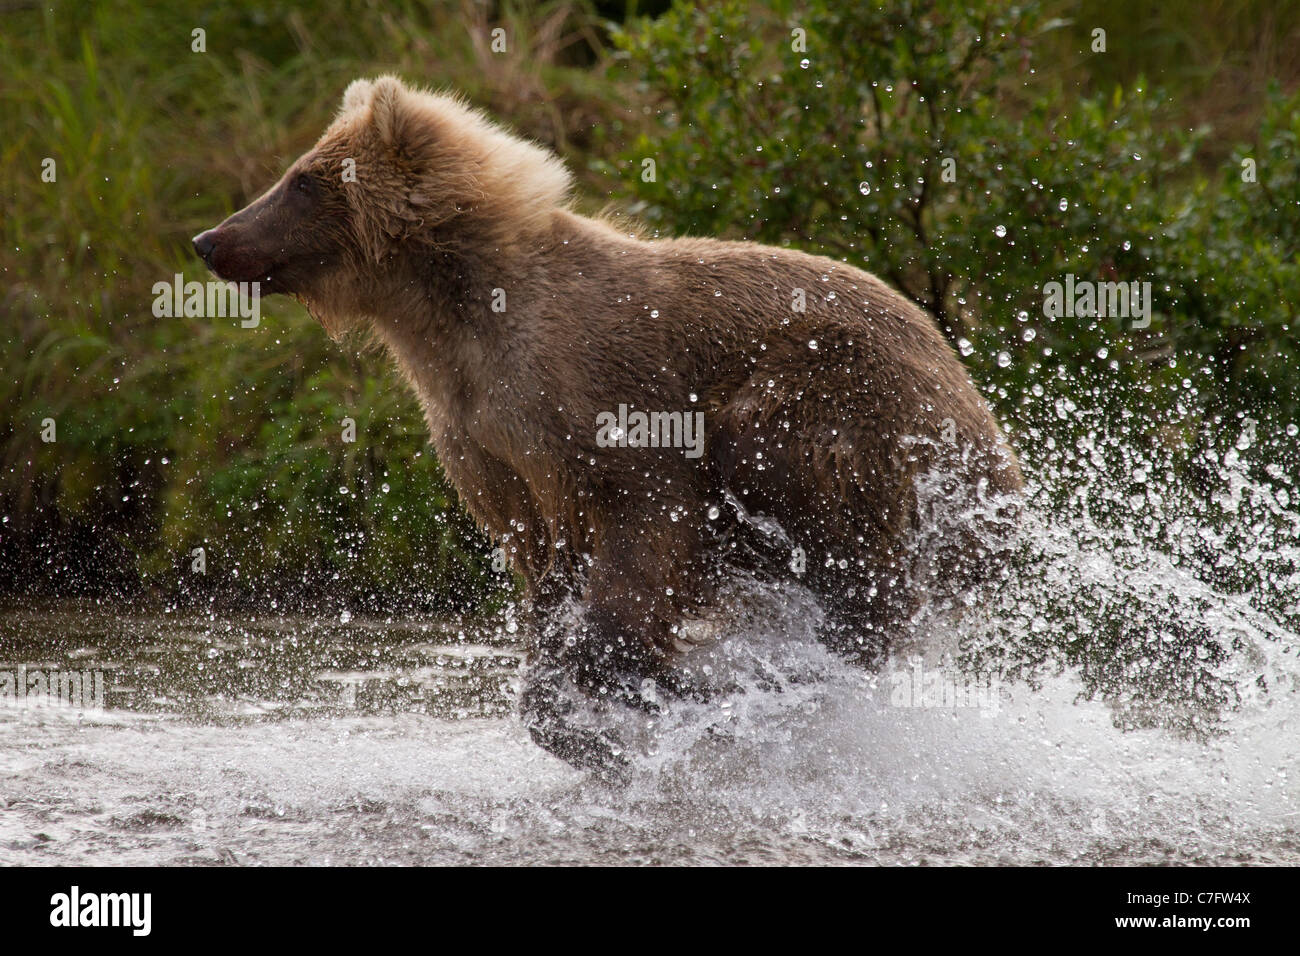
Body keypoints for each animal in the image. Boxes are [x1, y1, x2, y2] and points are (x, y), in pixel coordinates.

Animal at [195, 74, 1024, 780]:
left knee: (839, 542)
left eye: (303, 179)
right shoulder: (491, 446)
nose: (209, 239)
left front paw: (654, 684)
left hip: (838, 407)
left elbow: (641, 535)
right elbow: (547, 579)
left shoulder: (606, 402)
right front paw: (582, 717)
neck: (453, 320)